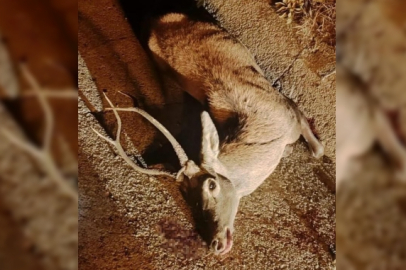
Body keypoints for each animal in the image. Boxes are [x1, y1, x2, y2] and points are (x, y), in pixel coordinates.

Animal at [93, 12, 326, 256]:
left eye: (211, 185)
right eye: (185, 194)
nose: (216, 244)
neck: (268, 133)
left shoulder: (289, 111)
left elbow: (317, 147)